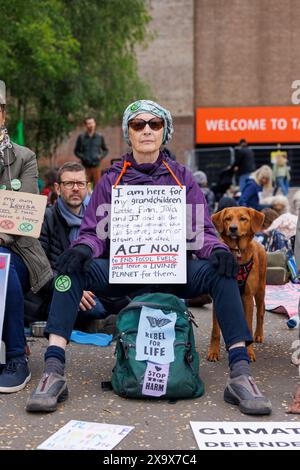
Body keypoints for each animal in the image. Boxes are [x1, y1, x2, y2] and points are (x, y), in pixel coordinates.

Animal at [207, 207, 266, 364]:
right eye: (227, 218)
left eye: (243, 218)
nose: (233, 228)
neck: (237, 252)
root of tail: (259, 243)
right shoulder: (219, 295)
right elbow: (215, 330)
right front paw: (213, 352)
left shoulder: (248, 296)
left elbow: (248, 326)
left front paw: (249, 352)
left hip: (260, 290)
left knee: (261, 311)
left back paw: (259, 335)